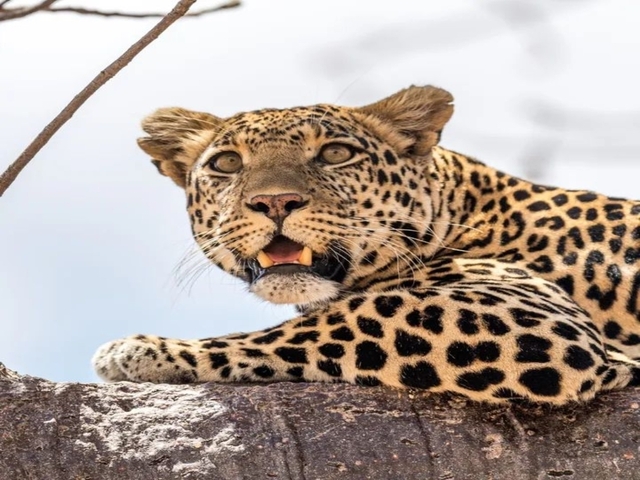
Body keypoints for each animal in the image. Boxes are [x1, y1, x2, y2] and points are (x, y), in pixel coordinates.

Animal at [93, 85, 640, 405]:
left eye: (335, 154)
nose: (276, 202)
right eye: (227, 163)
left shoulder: (537, 317)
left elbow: (342, 317)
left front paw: (144, 349)